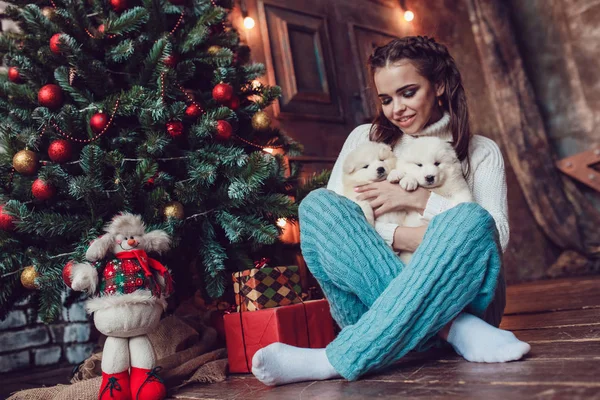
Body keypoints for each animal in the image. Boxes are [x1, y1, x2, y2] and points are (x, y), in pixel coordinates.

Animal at [386, 136, 476, 264]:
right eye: (419, 165)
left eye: (437, 163)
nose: (429, 177)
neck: (435, 189)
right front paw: (399, 176)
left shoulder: (461, 192)